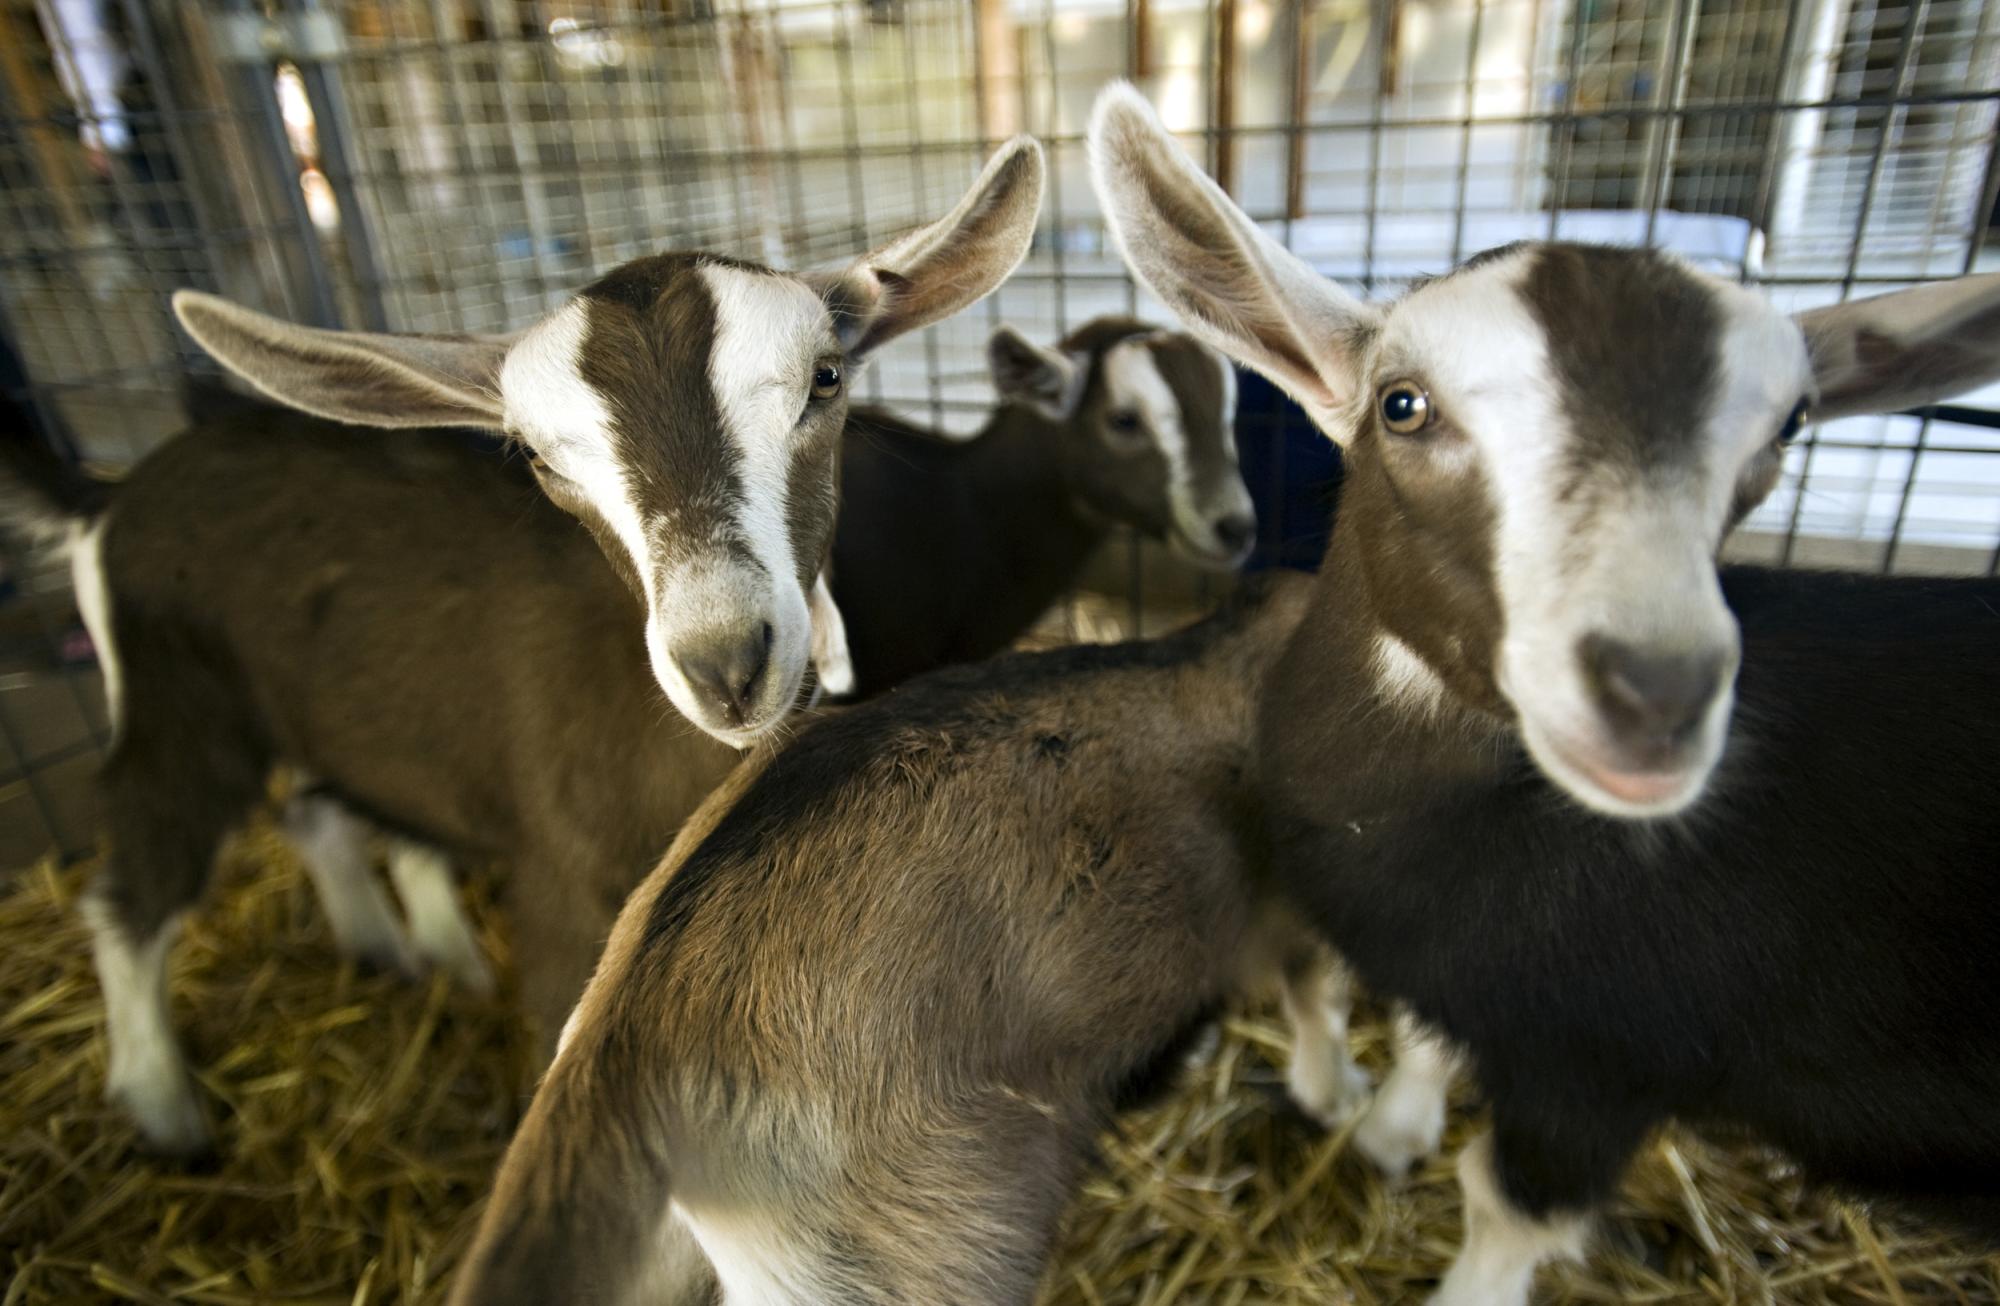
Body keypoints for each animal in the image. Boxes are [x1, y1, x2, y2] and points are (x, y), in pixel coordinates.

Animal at [1088, 84, 2000, 1304]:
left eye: (1787, 431)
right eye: (1402, 404)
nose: (1657, 696)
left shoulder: (1605, 1059)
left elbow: (1506, 1204)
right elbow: (1427, 1035)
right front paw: (1390, 1131)